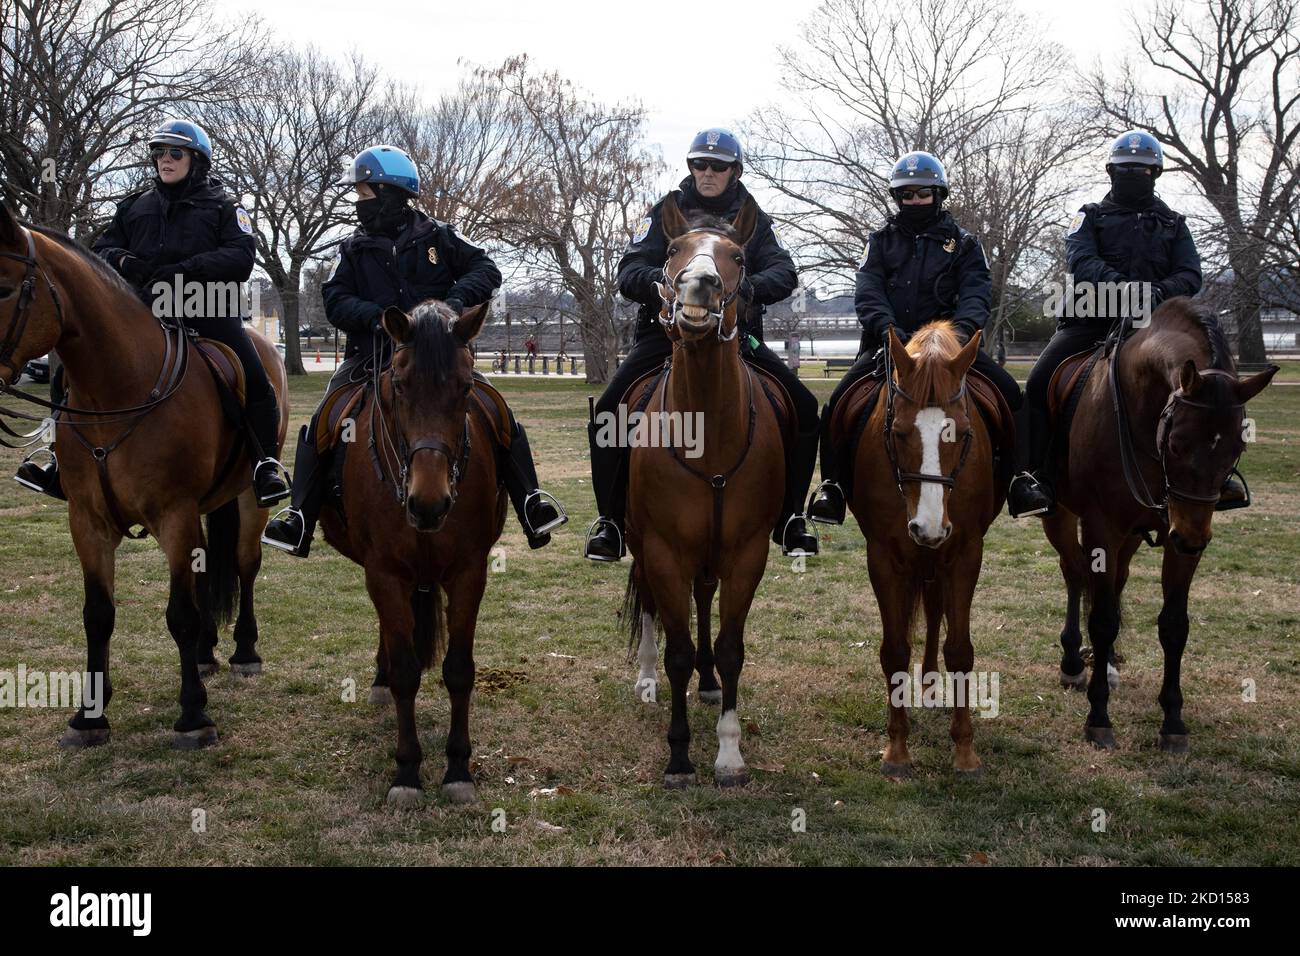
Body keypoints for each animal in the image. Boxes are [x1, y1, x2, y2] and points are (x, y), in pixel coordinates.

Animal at [0, 205, 287, 749]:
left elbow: (180, 614)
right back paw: (205, 654)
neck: (117, 391)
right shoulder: (88, 523)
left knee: (245, 564)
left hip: (245, 499)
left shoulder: (174, 516)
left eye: (4, 288)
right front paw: (89, 716)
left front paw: (193, 714)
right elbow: (98, 615)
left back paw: (244, 652)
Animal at [319, 300, 506, 806]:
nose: (428, 503)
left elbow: (459, 669)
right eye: (399, 385)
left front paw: (458, 768)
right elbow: (406, 671)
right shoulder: (384, 572)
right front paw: (406, 771)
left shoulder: (468, 571)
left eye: (466, 386)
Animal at [618, 196, 780, 790]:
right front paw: (679, 756)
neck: (707, 431)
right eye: (671, 250)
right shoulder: (664, 551)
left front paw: (729, 754)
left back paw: (708, 684)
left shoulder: (746, 553)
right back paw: (645, 680)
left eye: (738, 256)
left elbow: (730, 649)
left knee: (703, 597)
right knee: (648, 605)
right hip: (642, 545)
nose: (699, 287)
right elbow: (678, 653)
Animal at [847, 323, 998, 780]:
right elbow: (895, 650)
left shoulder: (965, 553)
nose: (928, 527)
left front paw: (965, 753)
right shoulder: (883, 557)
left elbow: (960, 650)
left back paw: (932, 685)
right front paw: (897, 749)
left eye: (962, 432)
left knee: (935, 614)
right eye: (899, 432)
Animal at [1040, 303, 1274, 749]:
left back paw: (1106, 663)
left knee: (1113, 584)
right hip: (1060, 515)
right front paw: (1099, 717)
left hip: (1134, 536)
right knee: (1075, 573)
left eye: (1238, 445)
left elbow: (1173, 625)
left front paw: (1173, 720)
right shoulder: (1101, 527)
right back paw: (1073, 662)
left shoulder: (1179, 534)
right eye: (1177, 443)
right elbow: (1102, 619)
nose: (1191, 537)